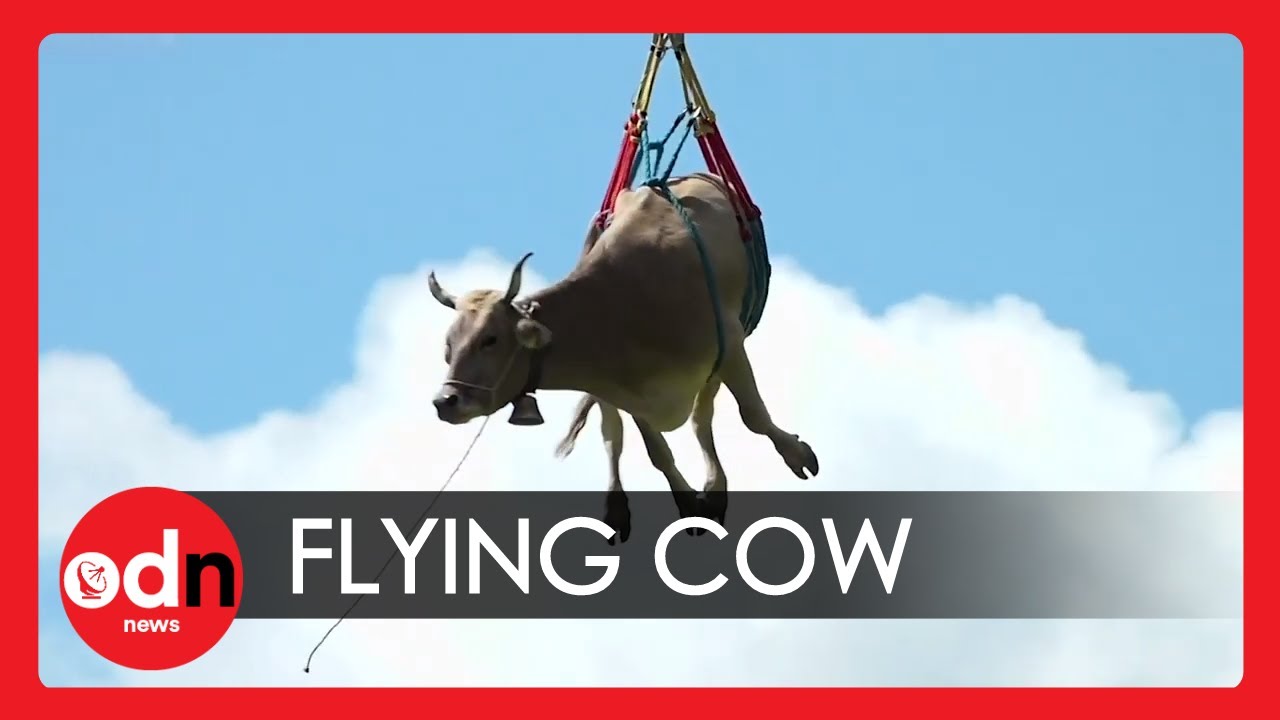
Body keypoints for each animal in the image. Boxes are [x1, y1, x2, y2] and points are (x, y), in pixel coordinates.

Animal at [425, 171, 819, 542]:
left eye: (489, 339)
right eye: (448, 345)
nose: (445, 401)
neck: (622, 303)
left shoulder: (729, 344)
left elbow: (752, 415)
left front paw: (796, 454)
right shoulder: (622, 387)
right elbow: (655, 451)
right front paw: (688, 503)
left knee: (700, 418)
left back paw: (716, 486)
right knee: (616, 436)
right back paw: (619, 508)